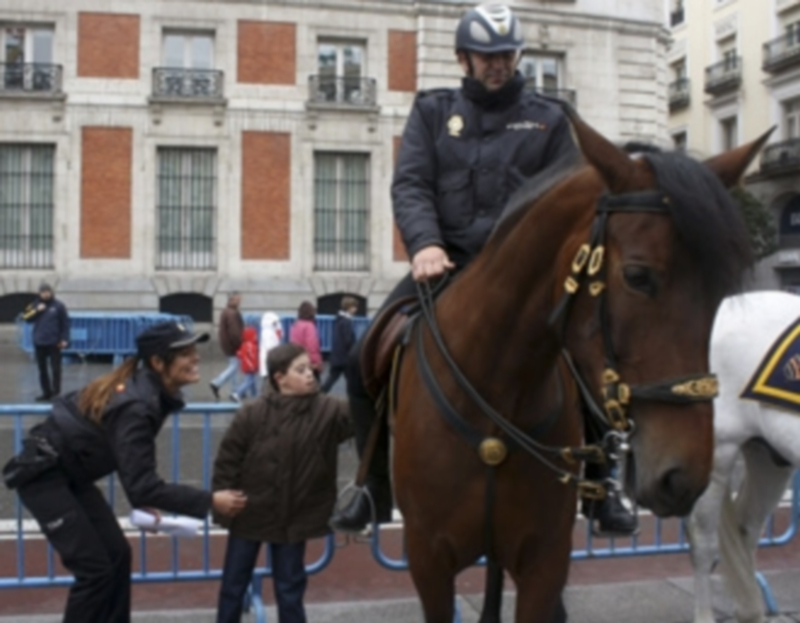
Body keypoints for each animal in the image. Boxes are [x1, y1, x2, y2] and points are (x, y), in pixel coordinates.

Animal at [387, 108, 771, 623]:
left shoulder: (545, 560)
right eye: (637, 276)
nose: (683, 475)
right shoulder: (428, 559)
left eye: (722, 288)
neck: (494, 402)